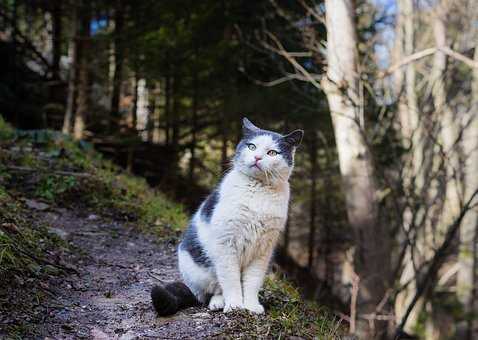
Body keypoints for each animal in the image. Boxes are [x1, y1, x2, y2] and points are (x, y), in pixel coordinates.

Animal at [151, 118, 304, 314]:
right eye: (252, 147)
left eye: (272, 152)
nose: (257, 157)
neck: (258, 190)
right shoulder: (226, 243)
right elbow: (231, 281)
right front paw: (235, 305)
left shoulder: (263, 250)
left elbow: (252, 282)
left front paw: (251, 306)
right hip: (200, 267)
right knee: (212, 291)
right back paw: (218, 303)